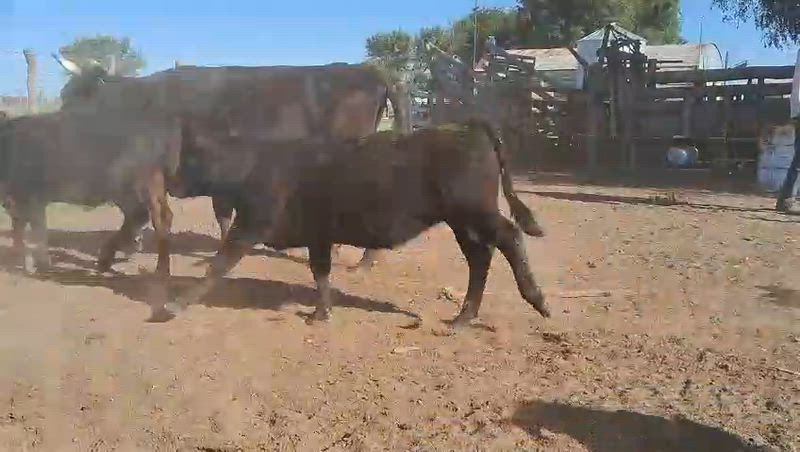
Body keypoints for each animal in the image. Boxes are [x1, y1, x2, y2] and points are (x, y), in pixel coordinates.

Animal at [0, 110, 181, 275]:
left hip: (138, 186)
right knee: (152, 216)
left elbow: (35, 229)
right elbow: (19, 227)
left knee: (151, 218)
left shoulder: (30, 198)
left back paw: (159, 269)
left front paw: (37, 263)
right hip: (145, 188)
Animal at [55, 57, 410, 272]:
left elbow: (140, 214)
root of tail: (366, 70)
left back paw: (362, 261)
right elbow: (220, 214)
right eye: (63, 94)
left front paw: (111, 255)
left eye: (82, 98)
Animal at [159, 119, 550, 327]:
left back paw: (537, 299)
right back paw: (464, 317)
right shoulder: (318, 233)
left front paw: (172, 306)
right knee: (480, 258)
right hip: (462, 222)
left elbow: (218, 264)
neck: (253, 162)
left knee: (510, 237)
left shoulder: (251, 225)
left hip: (474, 211)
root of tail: (466, 126)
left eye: (190, 157)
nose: (170, 181)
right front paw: (322, 312)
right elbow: (320, 271)